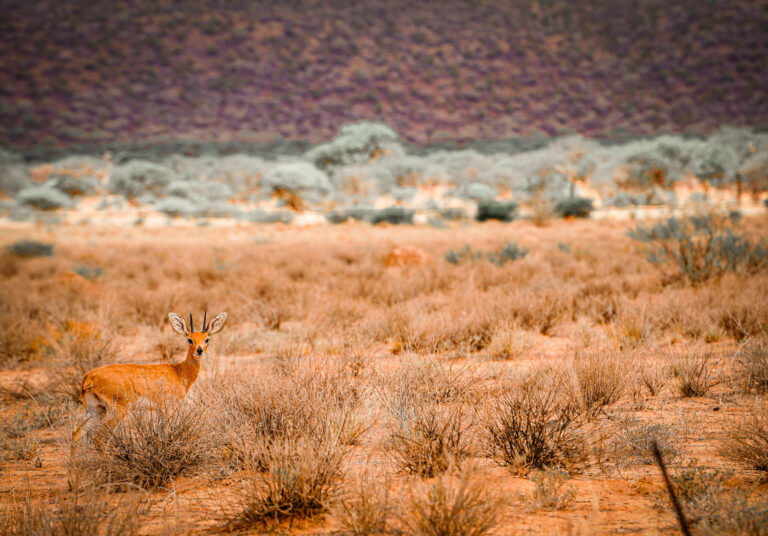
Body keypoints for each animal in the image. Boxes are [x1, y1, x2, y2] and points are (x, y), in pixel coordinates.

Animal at [72, 312, 228, 446]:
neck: (180, 372)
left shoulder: (159, 409)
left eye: (207, 339)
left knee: (78, 432)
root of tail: (89, 378)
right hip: (117, 411)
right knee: (98, 436)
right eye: (190, 339)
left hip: (96, 410)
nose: (199, 350)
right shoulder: (167, 407)